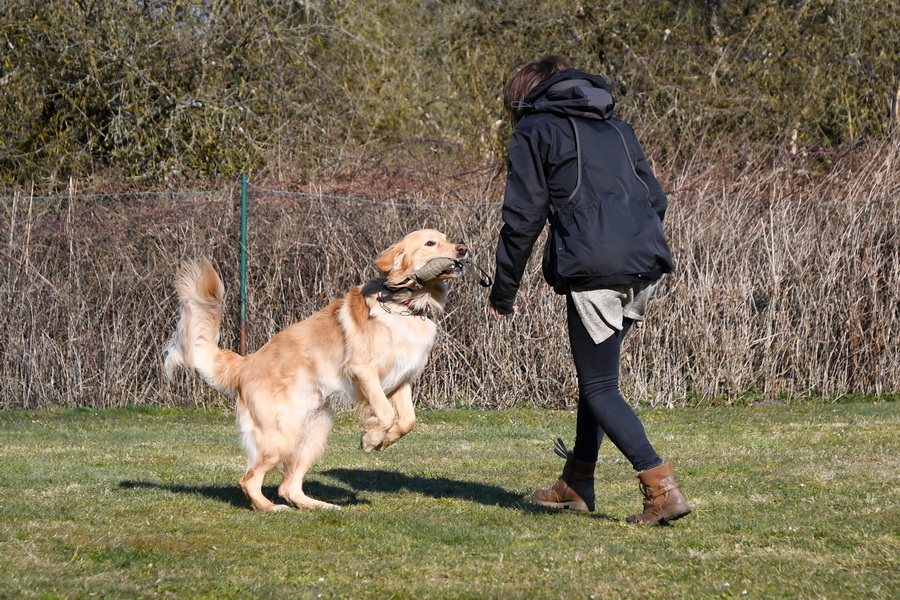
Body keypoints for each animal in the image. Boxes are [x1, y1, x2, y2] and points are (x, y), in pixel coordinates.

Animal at [164, 231, 468, 510]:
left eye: (447, 238)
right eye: (430, 243)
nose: (463, 249)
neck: (405, 305)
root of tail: (245, 363)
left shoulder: (401, 379)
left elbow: (407, 421)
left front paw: (385, 440)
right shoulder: (363, 371)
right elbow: (385, 413)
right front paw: (371, 439)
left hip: (314, 433)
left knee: (288, 486)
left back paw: (321, 506)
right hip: (281, 435)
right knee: (249, 480)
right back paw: (270, 508)